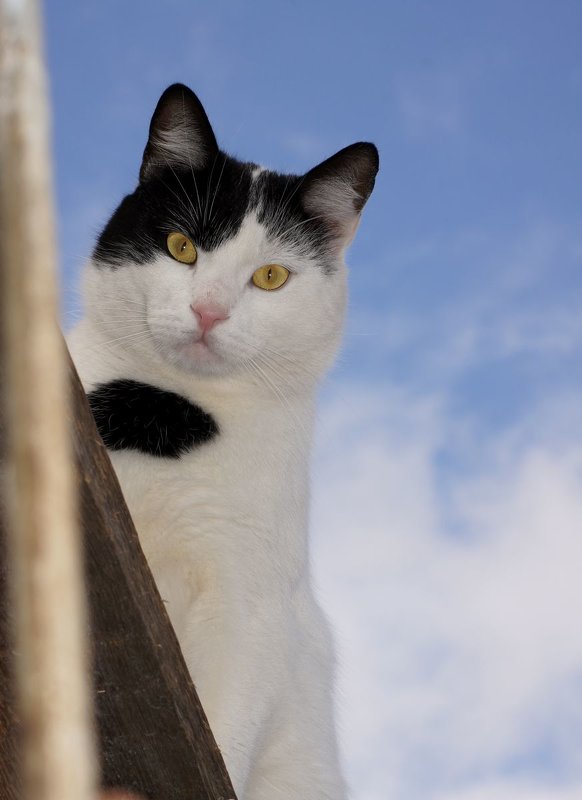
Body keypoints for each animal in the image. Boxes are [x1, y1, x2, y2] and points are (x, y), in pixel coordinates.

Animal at [67, 83, 378, 800]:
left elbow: (223, 728)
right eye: (182, 246)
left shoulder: (249, 610)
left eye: (270, 277)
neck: (166, 410)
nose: (208, 310)